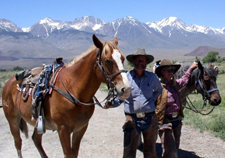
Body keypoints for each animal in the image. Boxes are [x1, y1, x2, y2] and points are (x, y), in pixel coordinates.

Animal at [0, 34, 132, 158]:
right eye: (107, 60)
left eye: (122, 58)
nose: (126, 89)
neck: (74, 90)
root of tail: (9, 83)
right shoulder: (63, 129)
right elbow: (68, 154)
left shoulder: (81, 128)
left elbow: (74, 153)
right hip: (13, 120)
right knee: (18, 142)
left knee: (36, 139)